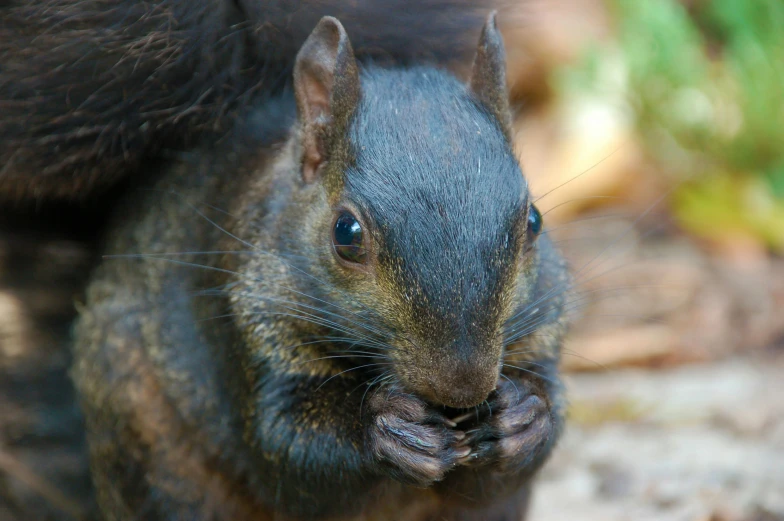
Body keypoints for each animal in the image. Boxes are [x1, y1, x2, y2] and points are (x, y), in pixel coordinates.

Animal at [4, 1, 568, 520]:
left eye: (534, 221)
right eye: (346, 233)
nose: (463, 388)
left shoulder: (544, 320)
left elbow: (522, 451)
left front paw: (521, 417)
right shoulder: (241, 317)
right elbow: (287, 450)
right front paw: (385, 426)